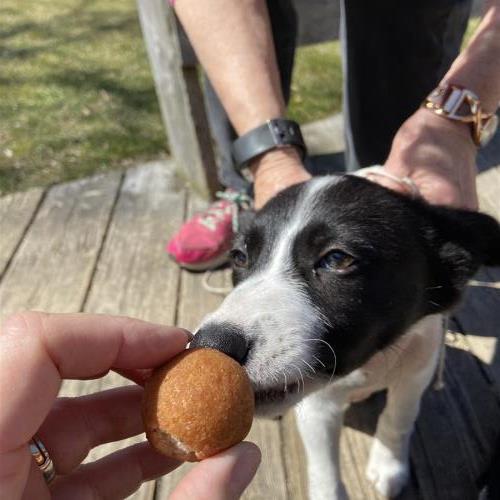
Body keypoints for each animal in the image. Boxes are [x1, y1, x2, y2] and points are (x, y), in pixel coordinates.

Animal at [190, 174, 500, 499]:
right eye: (239, 257)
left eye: (337, 259)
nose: (210, 345)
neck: (371, 364)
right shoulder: (318, 406)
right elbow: (324, 468)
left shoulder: (416, 371)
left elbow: (398, 417)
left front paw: (389, 465)